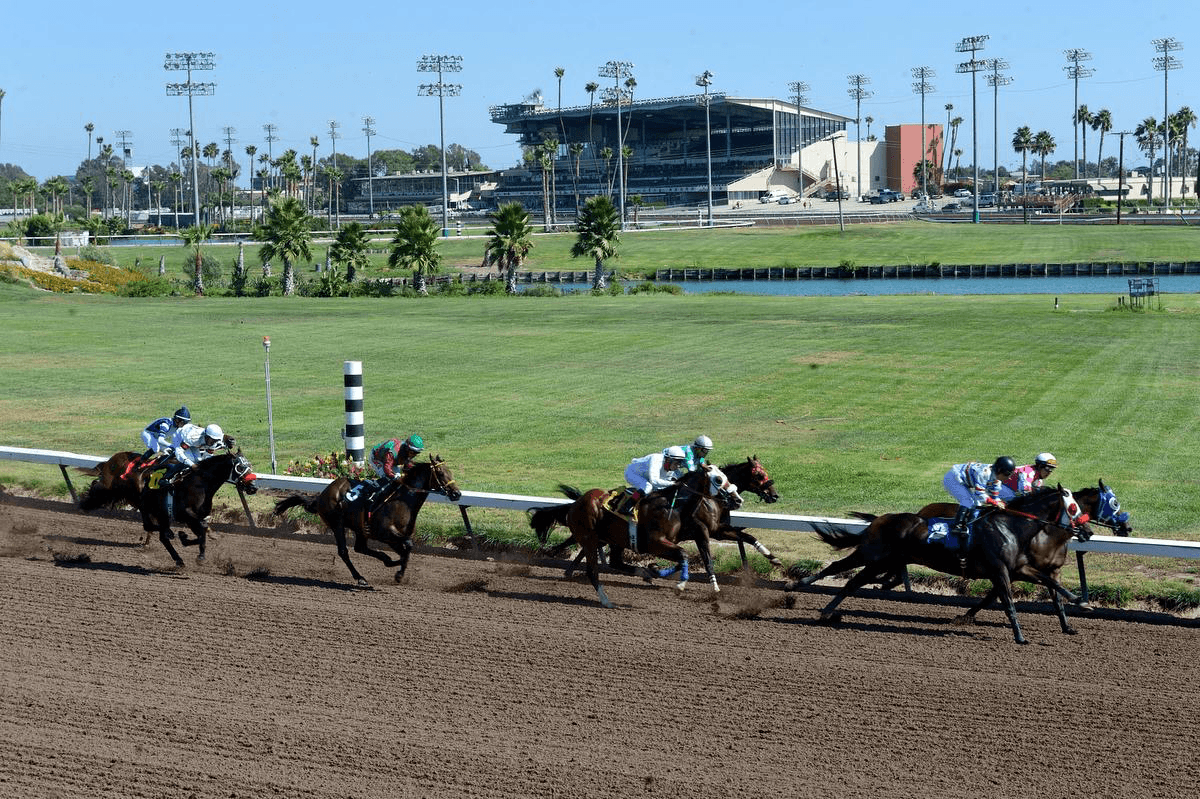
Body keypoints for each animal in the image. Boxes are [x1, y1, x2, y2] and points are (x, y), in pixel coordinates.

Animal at [274, 453, 460, 585]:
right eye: (441, 473)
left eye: (451, 472)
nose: (457, 494)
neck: (403, 501)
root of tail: (322, 495)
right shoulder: (384, 532)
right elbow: (408, 546)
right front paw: (399, 573)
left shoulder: (392, 537)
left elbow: (406, 550)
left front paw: (396, 567)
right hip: (336, 524)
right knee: (344, 551)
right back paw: (360, 577)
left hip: (359, 528)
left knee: (360, 548)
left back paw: (384, 560)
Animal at [532, 463, 739, 607]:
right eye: (718, 479)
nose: (737, 499)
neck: (673, 506)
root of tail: (575, 504)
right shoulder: (655, 542)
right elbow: (683, 554)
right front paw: (678, 584)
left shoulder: (670, 541)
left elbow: (682, 557)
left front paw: (656, 570)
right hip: (590, 539)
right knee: (593, 571)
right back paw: (606, 600)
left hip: (613, 539)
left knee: (616, 563)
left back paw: (645, 574)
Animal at [787, 482, 1099, 643]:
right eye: (1073, 507)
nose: (1087, 531)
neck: (1011, 526)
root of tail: (880, 519)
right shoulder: (1000, 570)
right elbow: (1009, 603)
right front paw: (1020, 637)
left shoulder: (1018, 568)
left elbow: (1050, 584)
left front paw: (1080, 602)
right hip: (873, 555)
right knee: (839, 570)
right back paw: (798, 586)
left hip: (883, 560)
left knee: (852, 581)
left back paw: (826, 610)